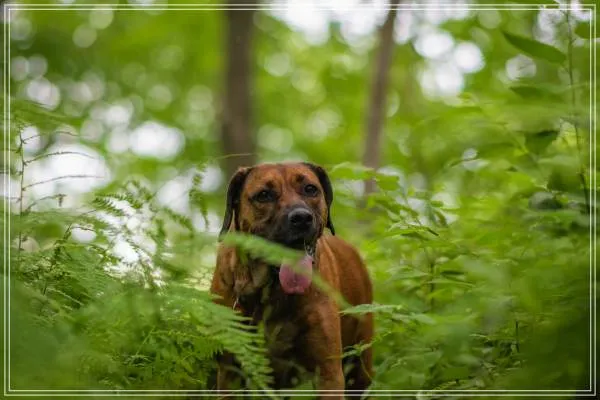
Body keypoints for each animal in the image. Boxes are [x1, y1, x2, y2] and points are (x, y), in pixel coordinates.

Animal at [210, 162, 373, 399]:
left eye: (310, 189)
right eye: (264, 195)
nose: (301, 218)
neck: (270, 291)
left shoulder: (329, 373)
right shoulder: (230, 374)